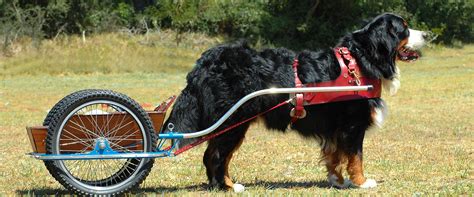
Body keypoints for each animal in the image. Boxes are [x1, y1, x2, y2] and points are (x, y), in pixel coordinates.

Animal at [163, 13, 430, 192]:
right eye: (404, 29)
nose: (428, 34)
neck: (359, 60)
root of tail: (205, 61)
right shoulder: (352, 125)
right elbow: (356, 157)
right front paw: (362, 182)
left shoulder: (335, 128)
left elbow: (335, 156)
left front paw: (338, 181)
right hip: (234, 121)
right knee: (217, 155)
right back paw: (229, 186)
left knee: (213, 154)